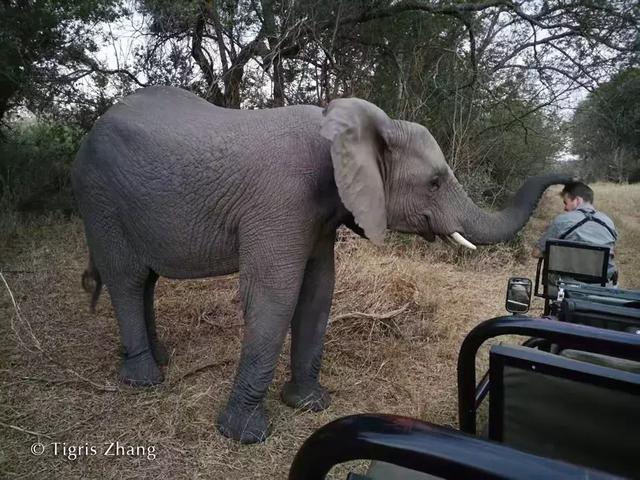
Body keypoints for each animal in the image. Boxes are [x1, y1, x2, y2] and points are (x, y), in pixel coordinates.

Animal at [71, 85, 576, 442]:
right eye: (434, 182)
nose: (572, 181)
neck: (345, 131)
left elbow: (318, 290)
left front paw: (310, 406)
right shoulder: (281, 200)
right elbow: (274, 293)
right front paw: (245, 435)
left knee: (146, 280)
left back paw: (157, 359)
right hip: (100, 197)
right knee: (127, 277)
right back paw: (144, 380)